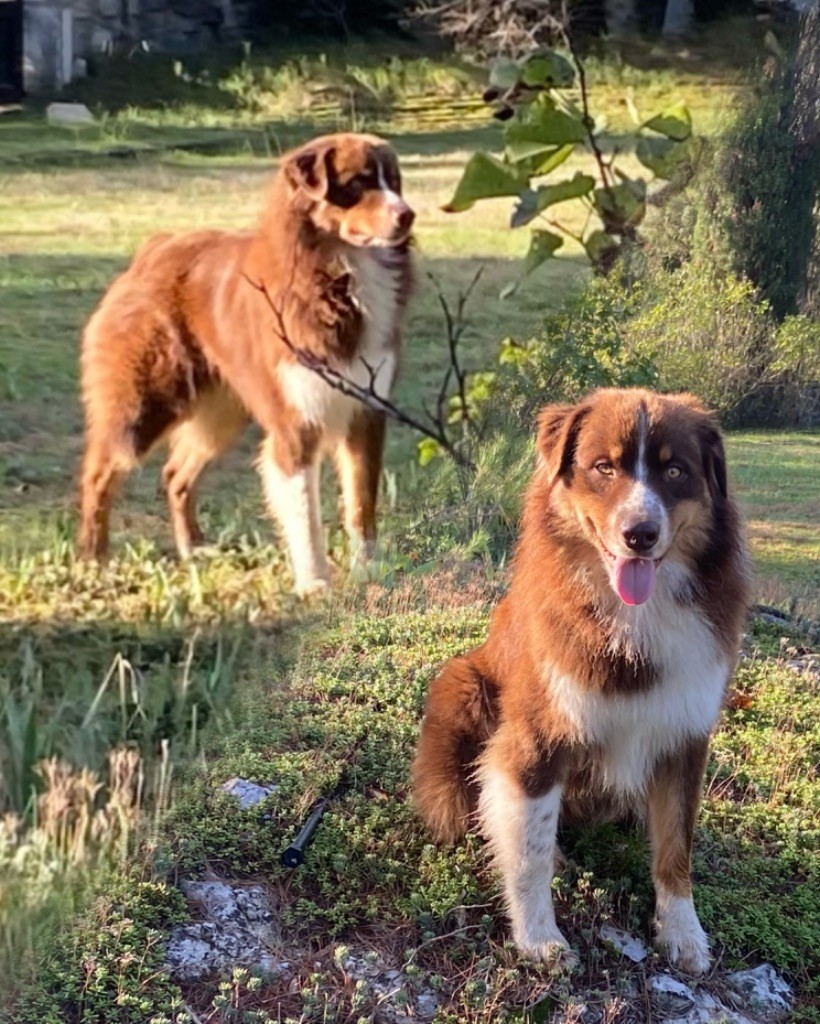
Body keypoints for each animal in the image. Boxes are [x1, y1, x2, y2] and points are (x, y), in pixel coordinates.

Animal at [79, 132, 413, 598]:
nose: (408, 215)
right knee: (99, 472)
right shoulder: (296, 424)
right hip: (143, 407)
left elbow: (361, 505)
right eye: (358, 182)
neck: (339, 272)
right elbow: (306, 515)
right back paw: (94, 559)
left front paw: (369, 576)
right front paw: (314, 583)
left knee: (175, 474)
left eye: (395, 182)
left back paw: (193, 549)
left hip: (222, 414)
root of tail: (153, 248)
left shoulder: (366, 413)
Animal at [415, 387, 749, 970]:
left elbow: (676, 845)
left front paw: (683, 931)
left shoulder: (685, 735)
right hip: (464, 686)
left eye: (676, 471)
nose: (640, 534)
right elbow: (529, 849)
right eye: (603, 467)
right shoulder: (538, 734)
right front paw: (538, 937)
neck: (635, 616)